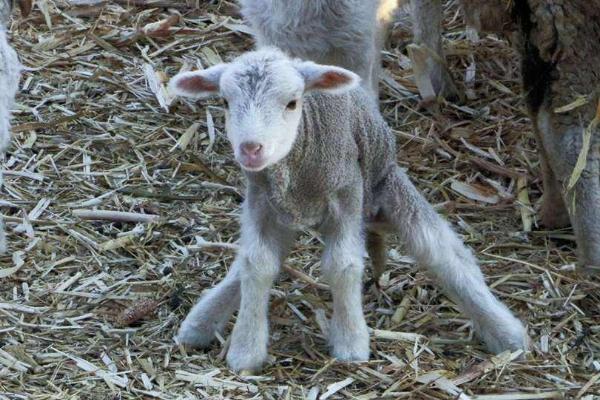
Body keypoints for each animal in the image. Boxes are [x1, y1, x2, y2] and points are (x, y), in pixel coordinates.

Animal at [166, 48, 528, 374]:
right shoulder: (261, 202)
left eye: (292, 102)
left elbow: (343, 265)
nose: (251, 149)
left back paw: (506, 332)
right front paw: (245, 350)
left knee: (442, 251)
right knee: (248, 264)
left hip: (383, 182)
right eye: (226, 103)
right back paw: (201, 322)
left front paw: (351, 343)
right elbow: (256, 264)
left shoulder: (348, 192)